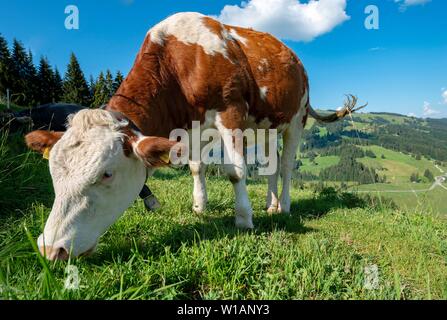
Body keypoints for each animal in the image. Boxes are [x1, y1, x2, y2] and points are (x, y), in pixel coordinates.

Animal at [24, 13, 366, 262]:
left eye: (106, 174)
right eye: (53, 172)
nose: (50, 249)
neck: (178, 62)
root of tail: (293, 56)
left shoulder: (230, 110)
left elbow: (235, 171)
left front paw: (244, 219)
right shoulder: (192, 128)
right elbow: (196, 167)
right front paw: (200, 208)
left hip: (295, 119)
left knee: (285, 166)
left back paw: (284, 207)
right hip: (265, 126)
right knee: (271, 164)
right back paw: (270, 204)